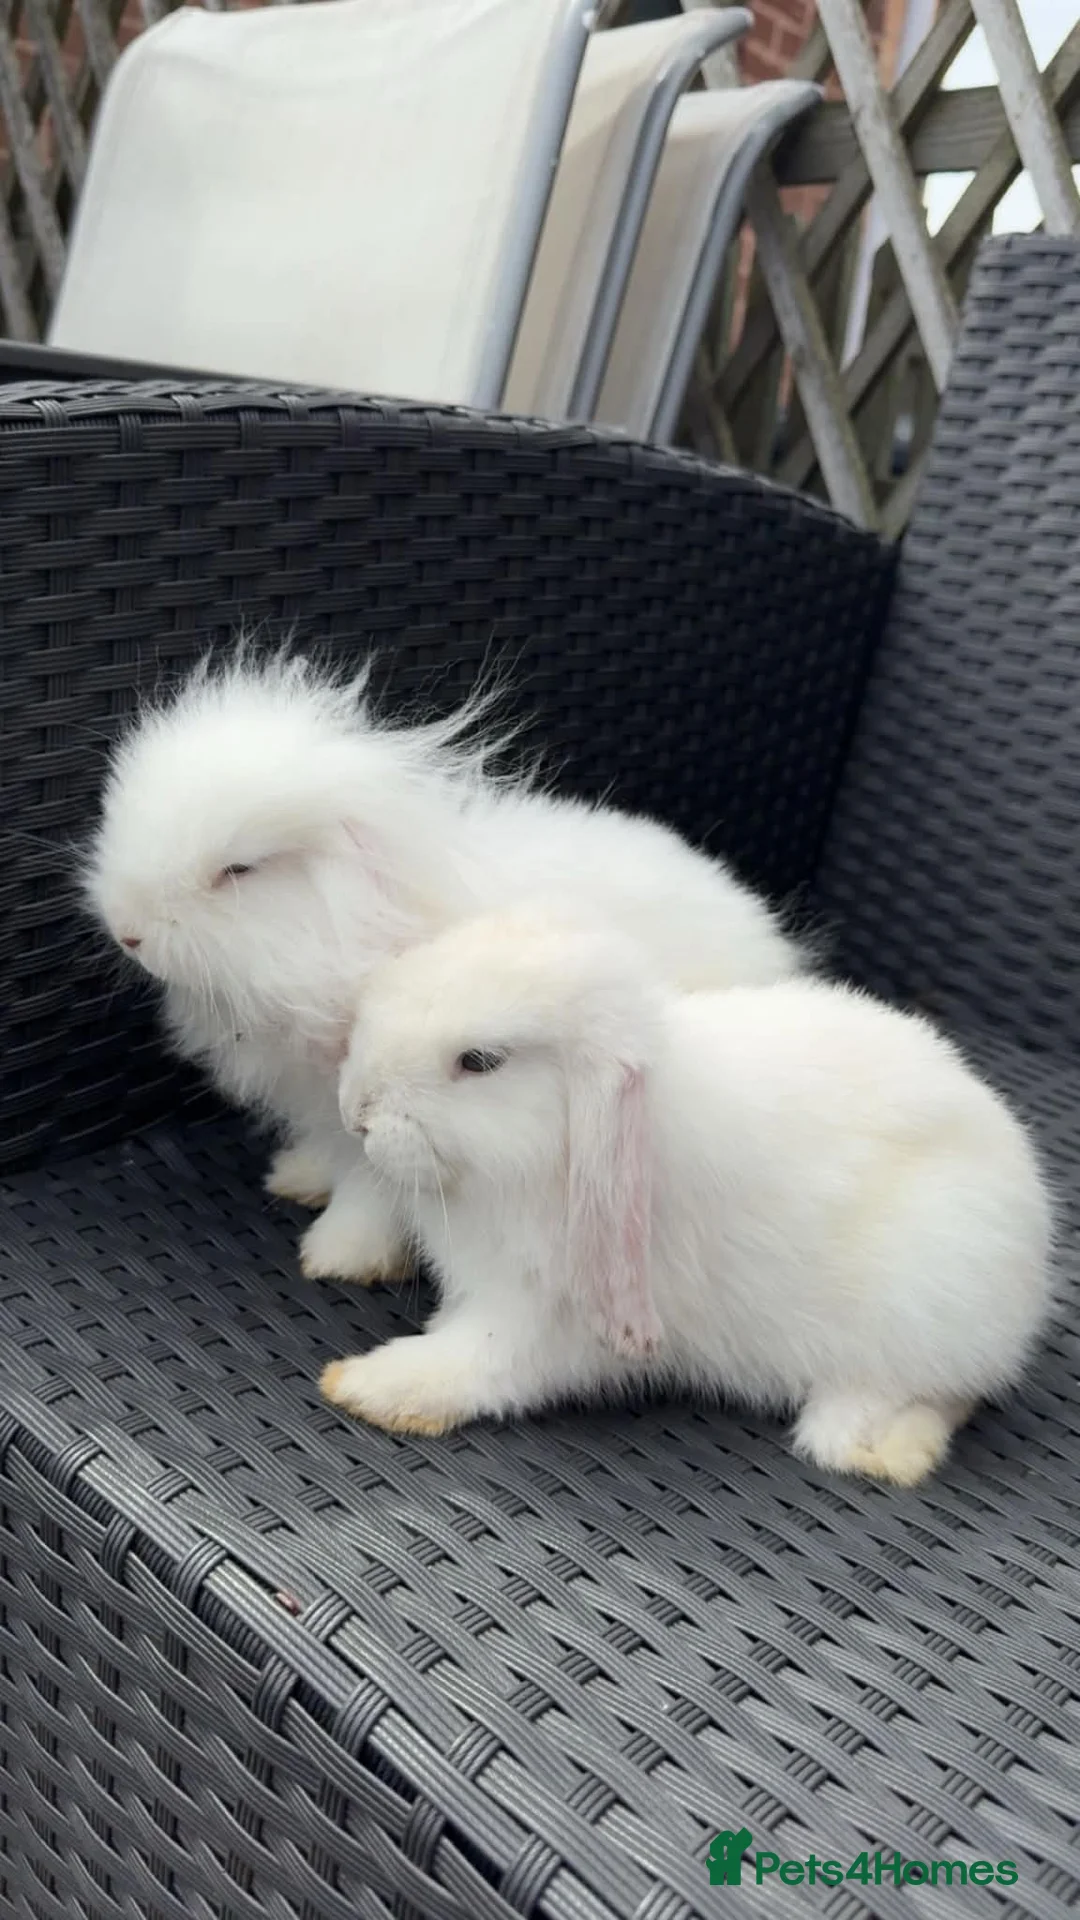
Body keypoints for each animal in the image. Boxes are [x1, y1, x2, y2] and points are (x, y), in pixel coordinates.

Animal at [84, 649, 803, 1285]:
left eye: (238, 869)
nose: (128, 931)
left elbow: (374, 1191)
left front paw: (339, 1257)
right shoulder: (329, 1109)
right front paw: (299, 1177)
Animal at [321, 907, 1051, 1485]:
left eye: (479, 1061)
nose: (355, 1112)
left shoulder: (547, 1312)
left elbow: (485, 1361)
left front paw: (369, 1386)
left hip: (921, 1308)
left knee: (937, 1393)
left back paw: (875, 1447)